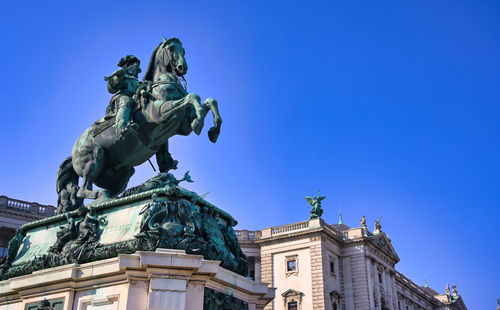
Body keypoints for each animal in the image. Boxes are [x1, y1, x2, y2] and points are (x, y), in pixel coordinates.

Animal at [55, 37, 222, 213]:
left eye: (183, 50)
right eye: (170, 48)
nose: (182, 68)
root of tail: (74, 151)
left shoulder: (183, 125)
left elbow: (209, 101)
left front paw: (213, 130)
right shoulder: (162, 113)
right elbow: (193, 97)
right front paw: (200, 123)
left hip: (122, 175)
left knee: (105, 192)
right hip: (94, 157)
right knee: (82, 190)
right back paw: (101, 196)